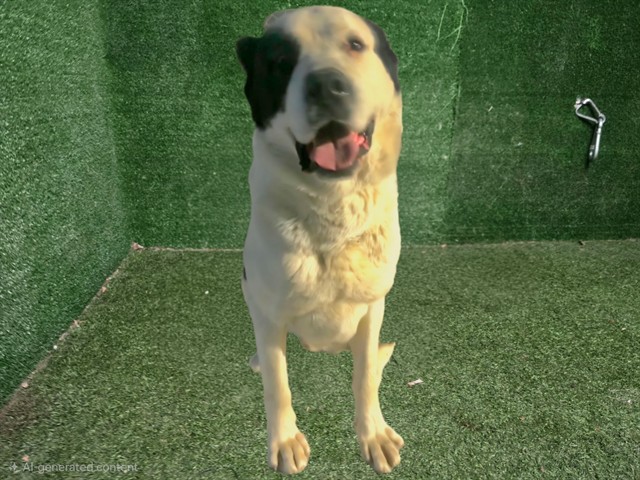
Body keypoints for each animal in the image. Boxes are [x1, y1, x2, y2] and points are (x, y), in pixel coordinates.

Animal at [236, 6, 403, 474]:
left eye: (355, 44)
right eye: (280, 62)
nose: (327, 85)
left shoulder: (374, 305)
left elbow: (364, 377)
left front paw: (372, 434)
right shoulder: (265, 309)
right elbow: (278, 382)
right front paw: (285, 440)